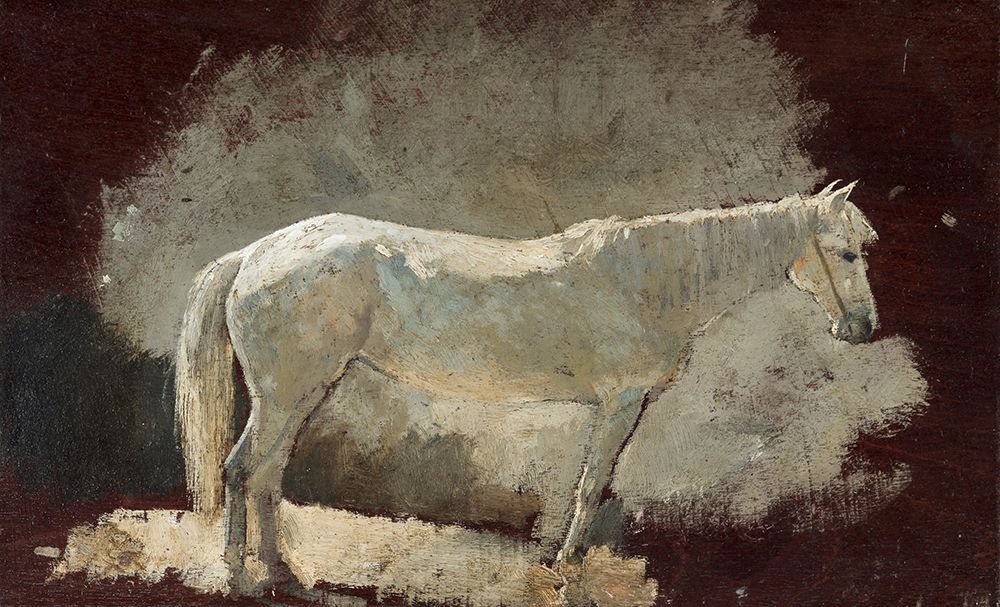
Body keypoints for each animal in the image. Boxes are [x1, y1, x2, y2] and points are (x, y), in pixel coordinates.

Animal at [174, 181, 877, 595]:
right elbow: (592, 484)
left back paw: (283, 572)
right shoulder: (620, 402)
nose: (863, 327)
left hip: (299, 393)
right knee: (242, 471)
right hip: (286, 394)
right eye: (847, 253)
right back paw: (240, 576)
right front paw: (565, 565)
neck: (646, 281)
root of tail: (255, 254)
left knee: (268, 476)